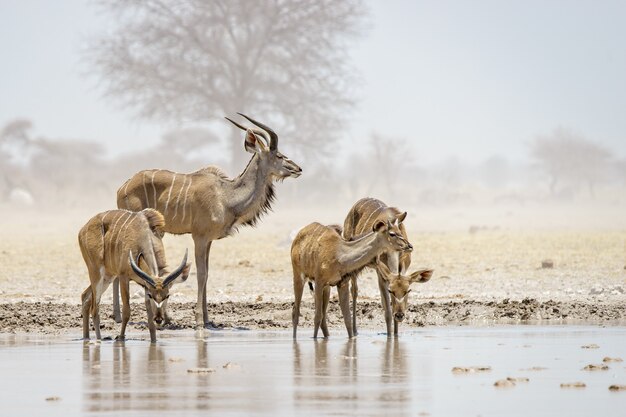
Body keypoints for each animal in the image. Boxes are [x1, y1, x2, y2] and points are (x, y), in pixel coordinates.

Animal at [78, 208, 190, 342]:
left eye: (167, 295)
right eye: (151, 295)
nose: (159, 319)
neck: (143, 236)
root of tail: (82, 230)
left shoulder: (146, 284)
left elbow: (149, 318)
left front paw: (154, 341)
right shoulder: (123, 277)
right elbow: (127, 311)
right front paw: (120, 337)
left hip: (107, 277)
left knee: (86, 297)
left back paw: (86, 338)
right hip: (96, 272)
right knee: (95, 308)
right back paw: (98, 340)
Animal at [117, 114, 302, 328]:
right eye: (279, 155)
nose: (298, 169)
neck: (226, 195)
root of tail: (122, 187)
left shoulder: (209, 241)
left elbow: (207, 274)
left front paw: (208, 319)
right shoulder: (199, 237)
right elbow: (201, 274)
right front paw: (199, 320)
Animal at [342, 197, 414, 336]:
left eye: (407, 291)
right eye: (391, 291)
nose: (400, 315)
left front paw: (396, 335)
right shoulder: (381, 274)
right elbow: (387, 312)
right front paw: (390, 336)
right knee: (354, 291)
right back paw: (355, 331)